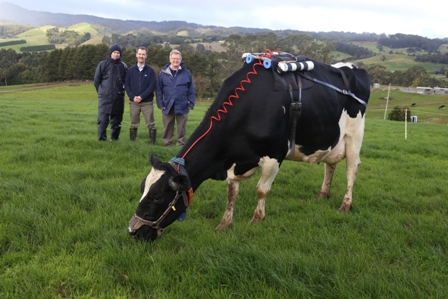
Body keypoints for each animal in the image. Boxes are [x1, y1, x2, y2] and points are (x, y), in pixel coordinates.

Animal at [129, 52, 372, 241]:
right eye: (142, 188)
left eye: (157, 197)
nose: (133, 231)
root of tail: (352, 68)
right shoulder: (234, 160)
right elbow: (231, 193)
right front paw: (224, 224)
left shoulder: (274, 155)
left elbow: (261, 190)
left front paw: (256, 219)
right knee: (330, 165)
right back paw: (323, 194)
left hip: (355, 136)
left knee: (351, 171)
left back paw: (345, 205)